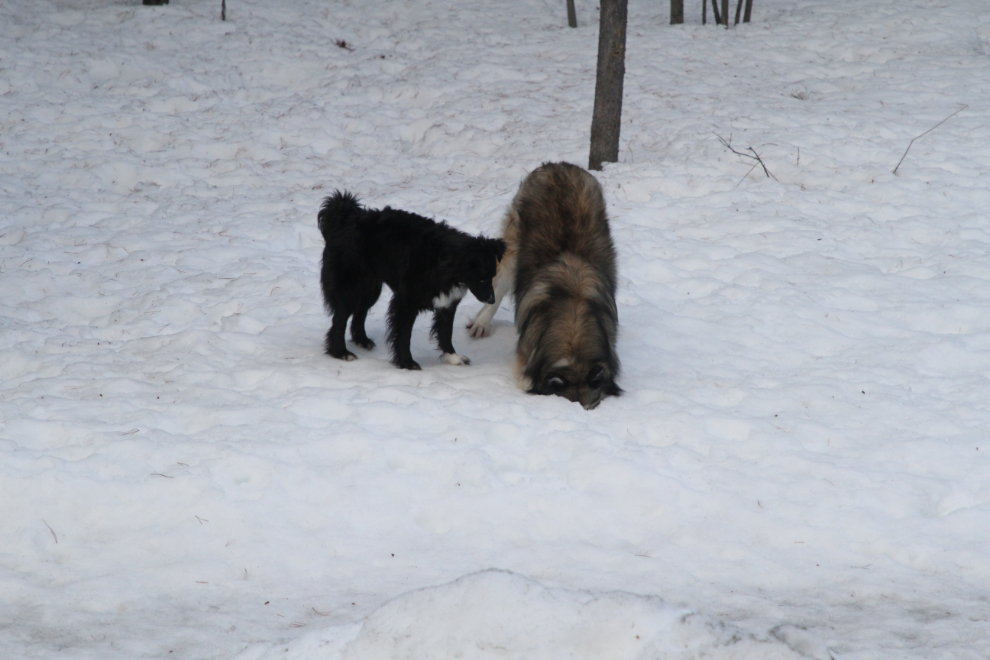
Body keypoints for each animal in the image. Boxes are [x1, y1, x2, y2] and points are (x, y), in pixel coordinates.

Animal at [320, 192, 504, 372]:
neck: (445, 263)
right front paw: (407, 362)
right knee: (339, 319)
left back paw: (362, 340)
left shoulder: (448, 302)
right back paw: (340, 352)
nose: (492, 300)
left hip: (370, 287)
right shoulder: (406, 302)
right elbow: (404, 335)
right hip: (350, 286)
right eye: (481, 278)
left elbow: (446, 332)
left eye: (493, 276)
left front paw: (453, 358)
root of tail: (347, 217)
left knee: (360, 311)